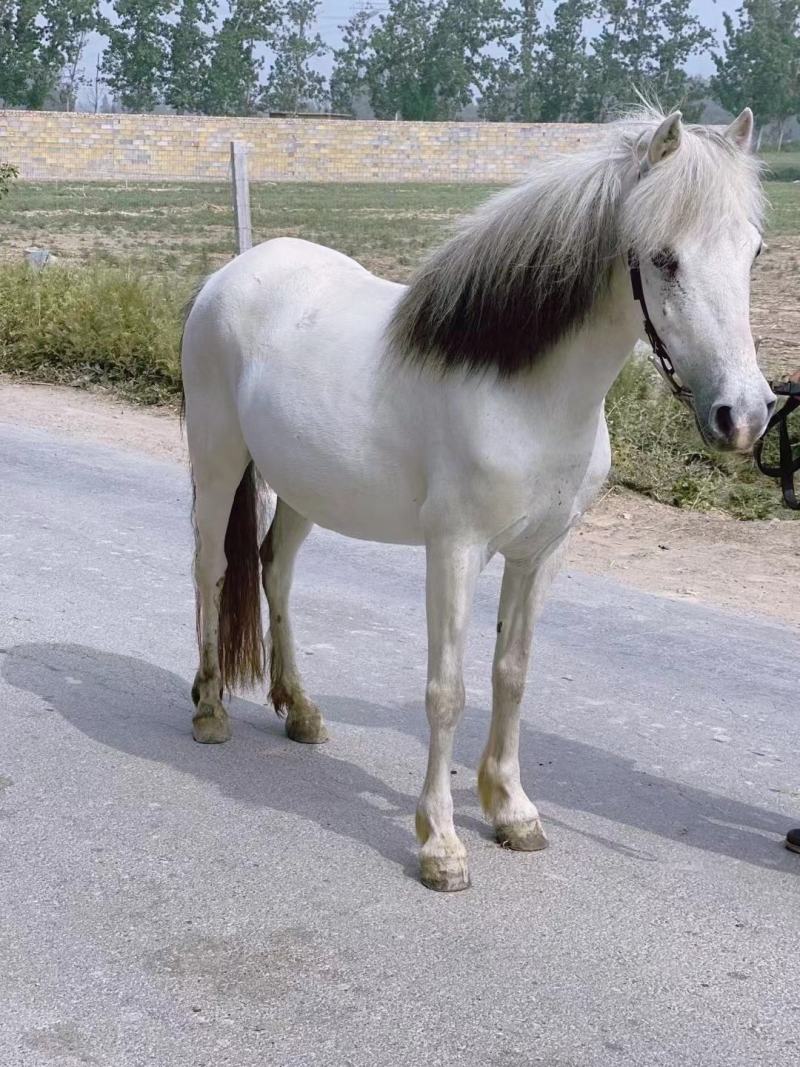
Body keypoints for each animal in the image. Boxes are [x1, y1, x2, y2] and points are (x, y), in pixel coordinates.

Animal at [181, 107, 773, 892]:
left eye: (753, 252)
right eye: (664, 258)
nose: (746, 416)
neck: (523, 392)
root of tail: (229, 275)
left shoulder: (541, 553)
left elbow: (511, 674)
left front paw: (512, 810)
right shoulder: (454, 550)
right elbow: (447, 690)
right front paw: (441, 844)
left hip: (305, 486)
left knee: (274, 570)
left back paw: (299, 710)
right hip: (218, 461)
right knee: (214, 570)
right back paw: (209, 708)